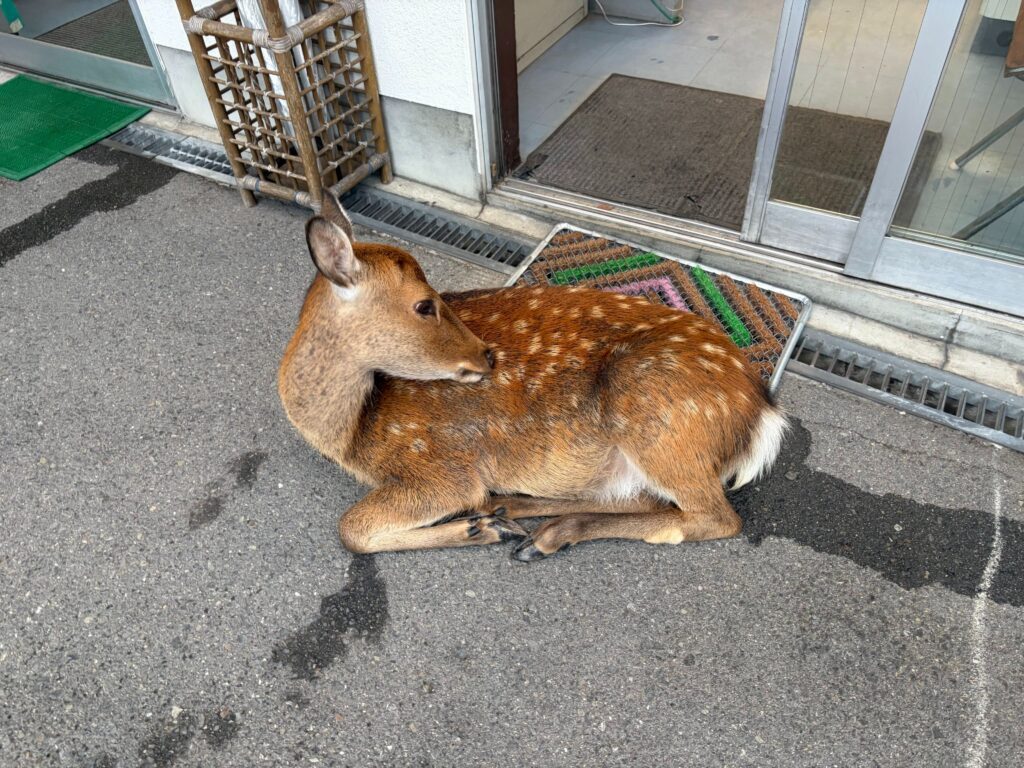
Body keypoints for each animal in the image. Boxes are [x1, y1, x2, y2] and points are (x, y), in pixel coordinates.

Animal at [278, 193, 788, 561]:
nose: (486, 355)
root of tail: (763, 412)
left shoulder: (439, 465)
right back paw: (516, 514)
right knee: (648, 498)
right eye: (424, 305)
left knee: (713, 517)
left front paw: (477, 531)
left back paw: (531, 531)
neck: (351, 432)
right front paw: (484, 525)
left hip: (655, 410)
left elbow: (350, 530)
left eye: (435, 295)